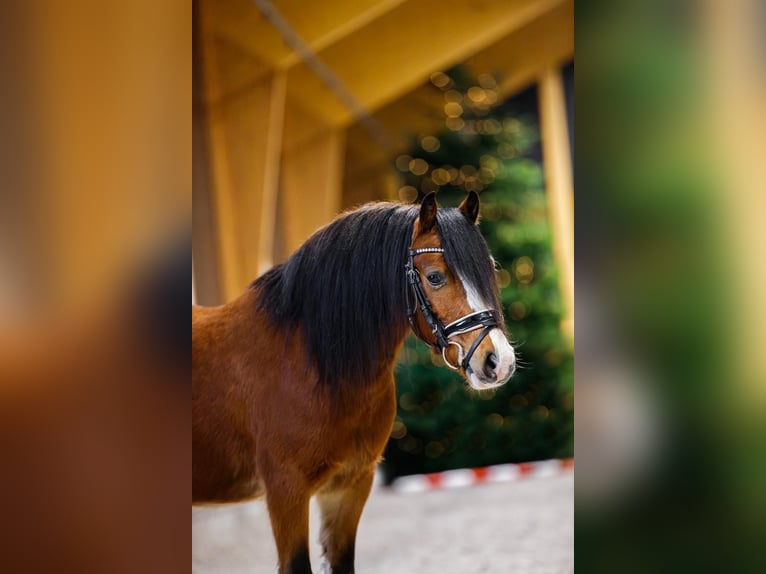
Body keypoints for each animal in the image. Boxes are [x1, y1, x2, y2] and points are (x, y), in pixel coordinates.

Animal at [194, 194, 516, 574]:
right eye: (435, 277)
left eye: (489, 269)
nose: (498, 362)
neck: (313, 362)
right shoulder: (286, 491)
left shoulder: (349, 486)